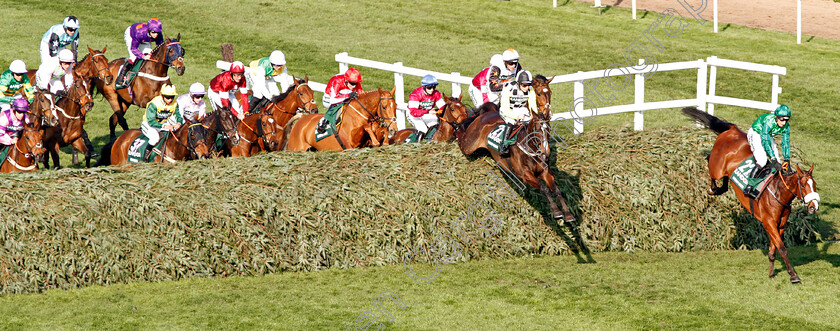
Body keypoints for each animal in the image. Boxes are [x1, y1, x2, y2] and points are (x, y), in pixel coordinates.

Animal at [684, 107, 820, 284]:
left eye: (814, 185)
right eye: (803, 185)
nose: (814, 207)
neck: (779, 194)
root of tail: (733, 129)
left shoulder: (780, 224)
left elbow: (774, 248)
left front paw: (771, 272)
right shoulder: (769, 223)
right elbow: (782, 248)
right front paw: (793, 275)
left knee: (726, 178)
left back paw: (720, 189)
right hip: (717, 167)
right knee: (710, 162)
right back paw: (713, 188)